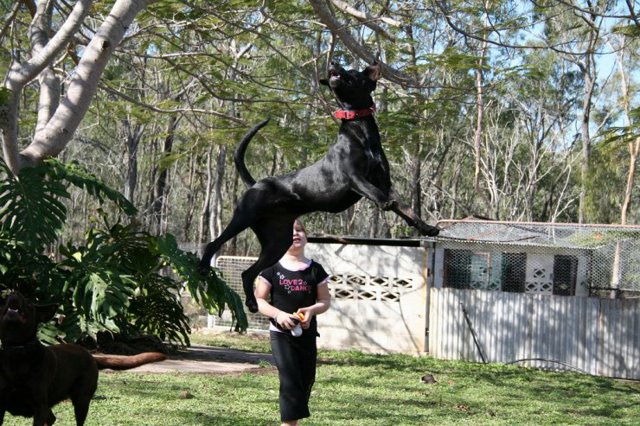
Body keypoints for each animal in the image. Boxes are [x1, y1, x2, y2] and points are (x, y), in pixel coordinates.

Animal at [0, 292, 165, 426]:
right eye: (5, 301)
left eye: (28, 303)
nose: (14, 292)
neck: (17, 350)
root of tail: (91, 356)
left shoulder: (39, 407)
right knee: (52, 418)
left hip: (82, 400)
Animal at [200, 60, 440, 312]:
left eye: (352, 71)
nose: (333, 62)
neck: (360, 128)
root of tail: (255, 184)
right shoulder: (354, 178)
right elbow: (380, 196)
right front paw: (388, 204)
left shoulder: (385, 182)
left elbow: (406, 208)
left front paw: (425, 227)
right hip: (243, 217)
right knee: (212, 244)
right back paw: (205, 267)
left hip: (278, 242)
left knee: (248, 273)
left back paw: (252, 303)